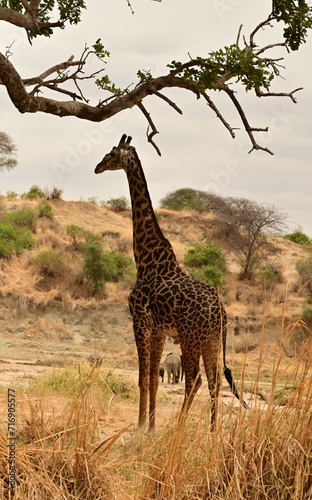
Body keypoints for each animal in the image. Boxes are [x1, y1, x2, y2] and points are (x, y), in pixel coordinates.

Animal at [94, 135, 246, 432]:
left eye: (112, 153)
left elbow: (143, 377)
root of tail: (221, 312)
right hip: (211, 339)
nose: (97, 167)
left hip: (191, 337)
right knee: (215, 382)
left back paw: (179, 428)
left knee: (196, 379)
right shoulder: (159, 331)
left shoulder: (140, 320)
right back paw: (212, 432)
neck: (146, 258)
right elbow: (153, 377)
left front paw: (140, 426)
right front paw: (150, 427)